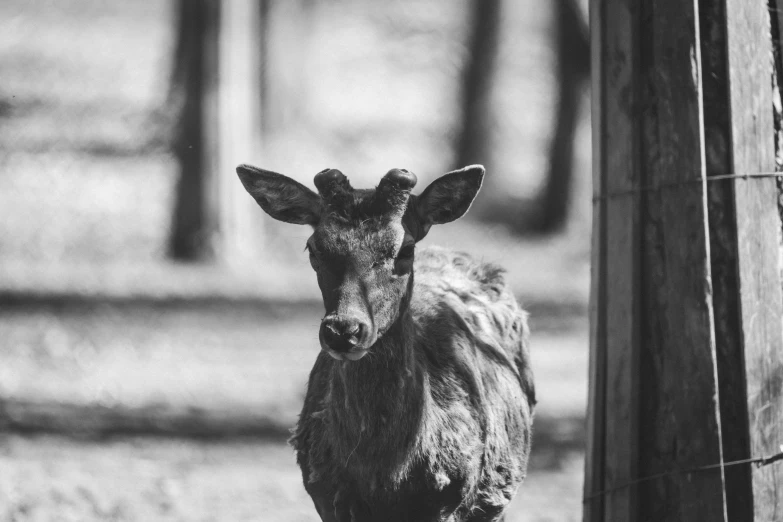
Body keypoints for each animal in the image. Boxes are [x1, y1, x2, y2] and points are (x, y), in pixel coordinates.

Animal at [236, 164, 536, 520]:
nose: (344, 330)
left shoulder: (451, 496)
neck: (386, 478)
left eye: (405, 249)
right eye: (314, 247)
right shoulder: (324, 494)